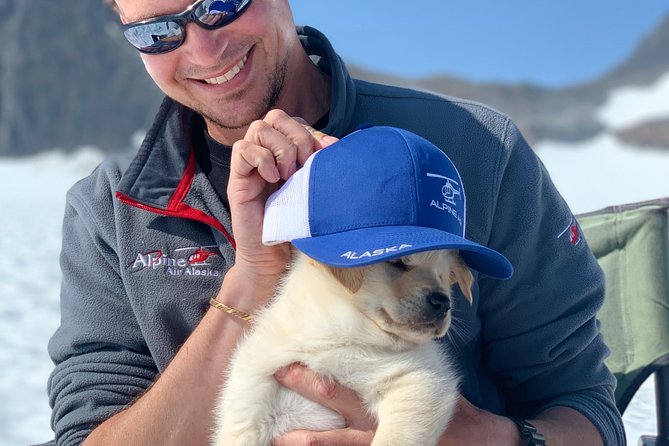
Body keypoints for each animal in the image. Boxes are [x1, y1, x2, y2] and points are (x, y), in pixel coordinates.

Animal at [211, 249, 472, 446]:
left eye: (443, 277)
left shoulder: (422, 381)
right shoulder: (248, 402)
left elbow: (393, 439)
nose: (443, 303)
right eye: (397, 263)